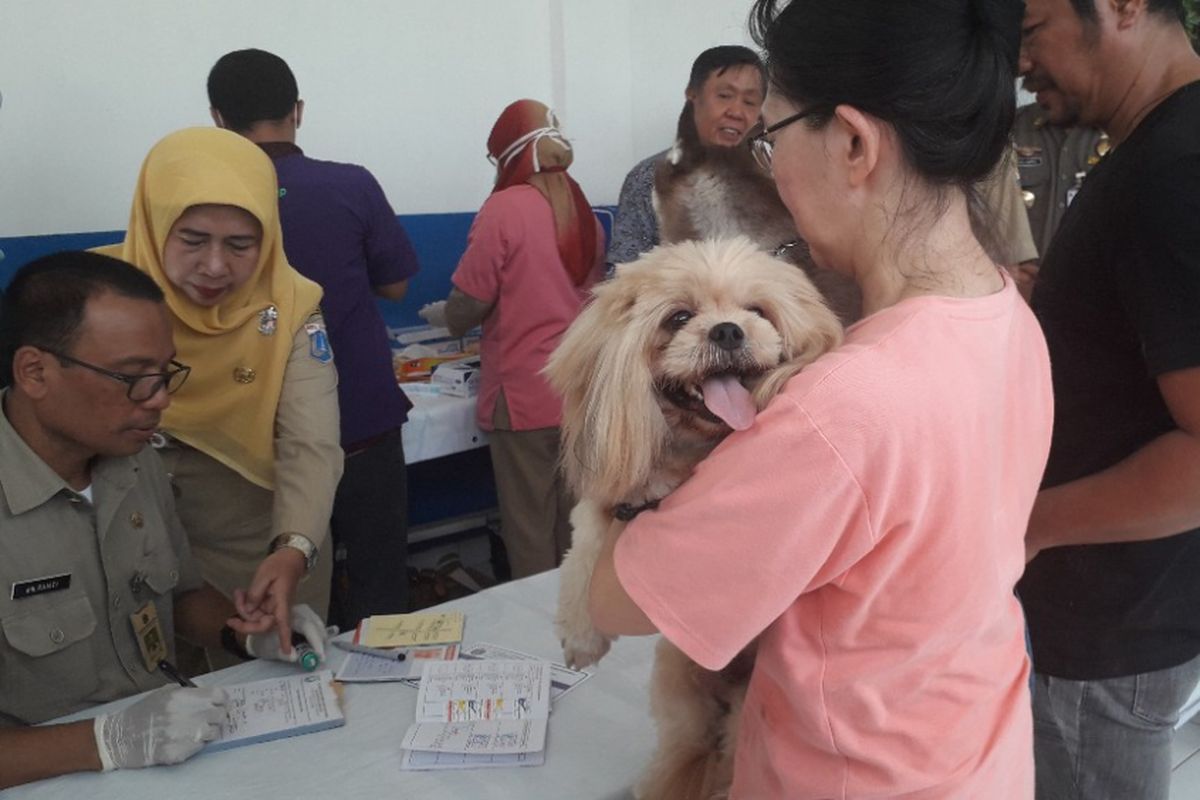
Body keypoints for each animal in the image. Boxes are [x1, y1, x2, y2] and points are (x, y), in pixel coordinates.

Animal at [549, 237, 840, 800]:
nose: (727, 330)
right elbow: (582, 555)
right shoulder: (603, 505)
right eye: (679, 317)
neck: (690, 453)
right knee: (688, 743)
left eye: (757, 312)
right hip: (678, 680)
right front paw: (580, 634)